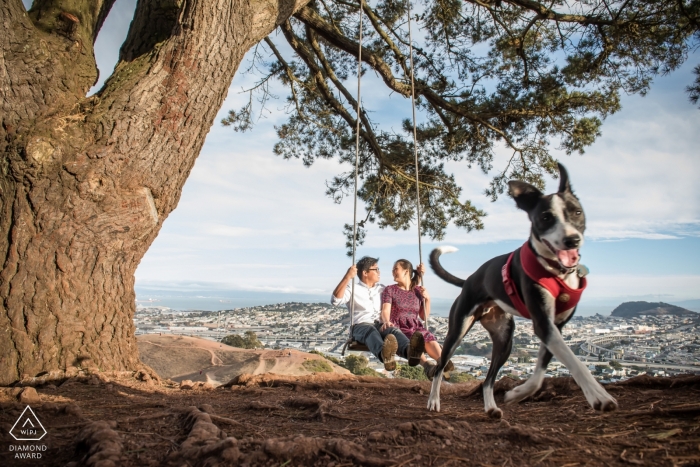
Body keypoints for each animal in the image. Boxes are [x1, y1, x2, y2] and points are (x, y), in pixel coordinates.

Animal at [426, 164, 616, 416]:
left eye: (577, 212)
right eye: (545, 217)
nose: (572, 240)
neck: (557, 270)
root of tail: (469, 280)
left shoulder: (555, 327)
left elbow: (538, 375)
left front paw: (518, 393)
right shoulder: (544, 325)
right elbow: (576, 363)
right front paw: (599, 395)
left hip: (504, 340)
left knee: (488, 379)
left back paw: (491, 408)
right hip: (457, 330)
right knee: (440, 367)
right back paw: (434, 400)